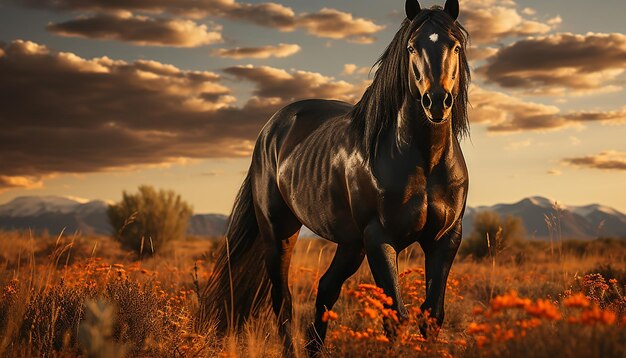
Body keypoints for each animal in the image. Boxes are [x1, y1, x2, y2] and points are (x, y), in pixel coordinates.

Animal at [204, 0, 468, 352]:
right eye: (412, 48)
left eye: (455, 46)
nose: (437, 102)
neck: (424, 162)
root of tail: (272, 128)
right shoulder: (380, 238)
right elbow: (396, 317)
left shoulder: (445, 238)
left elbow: (432, 316)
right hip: (279, 234)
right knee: (283, 299)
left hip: (350, 244)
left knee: (326, 289)